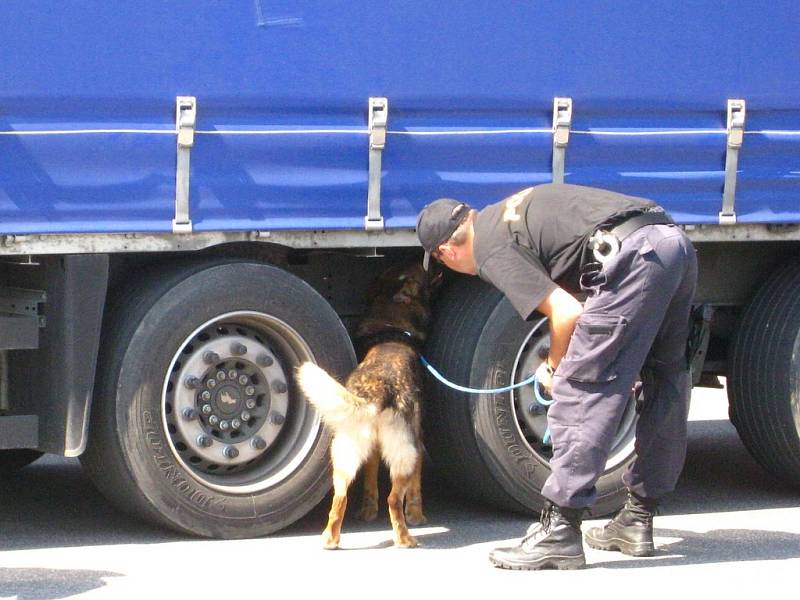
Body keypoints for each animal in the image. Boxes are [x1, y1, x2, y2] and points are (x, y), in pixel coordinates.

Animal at [298, 262, 440, 548]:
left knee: (339, 499)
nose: (426, 261)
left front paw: (367, 511)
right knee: (394, 499)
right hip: (405, 453)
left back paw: (330, 539)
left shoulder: (373, 453)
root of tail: (375, 397)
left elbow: (370, 482)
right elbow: (416, 489)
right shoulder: (418, 441)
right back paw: (405, 539)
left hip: (345, 456)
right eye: (420, 276)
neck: (391, 327)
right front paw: (417, 516)